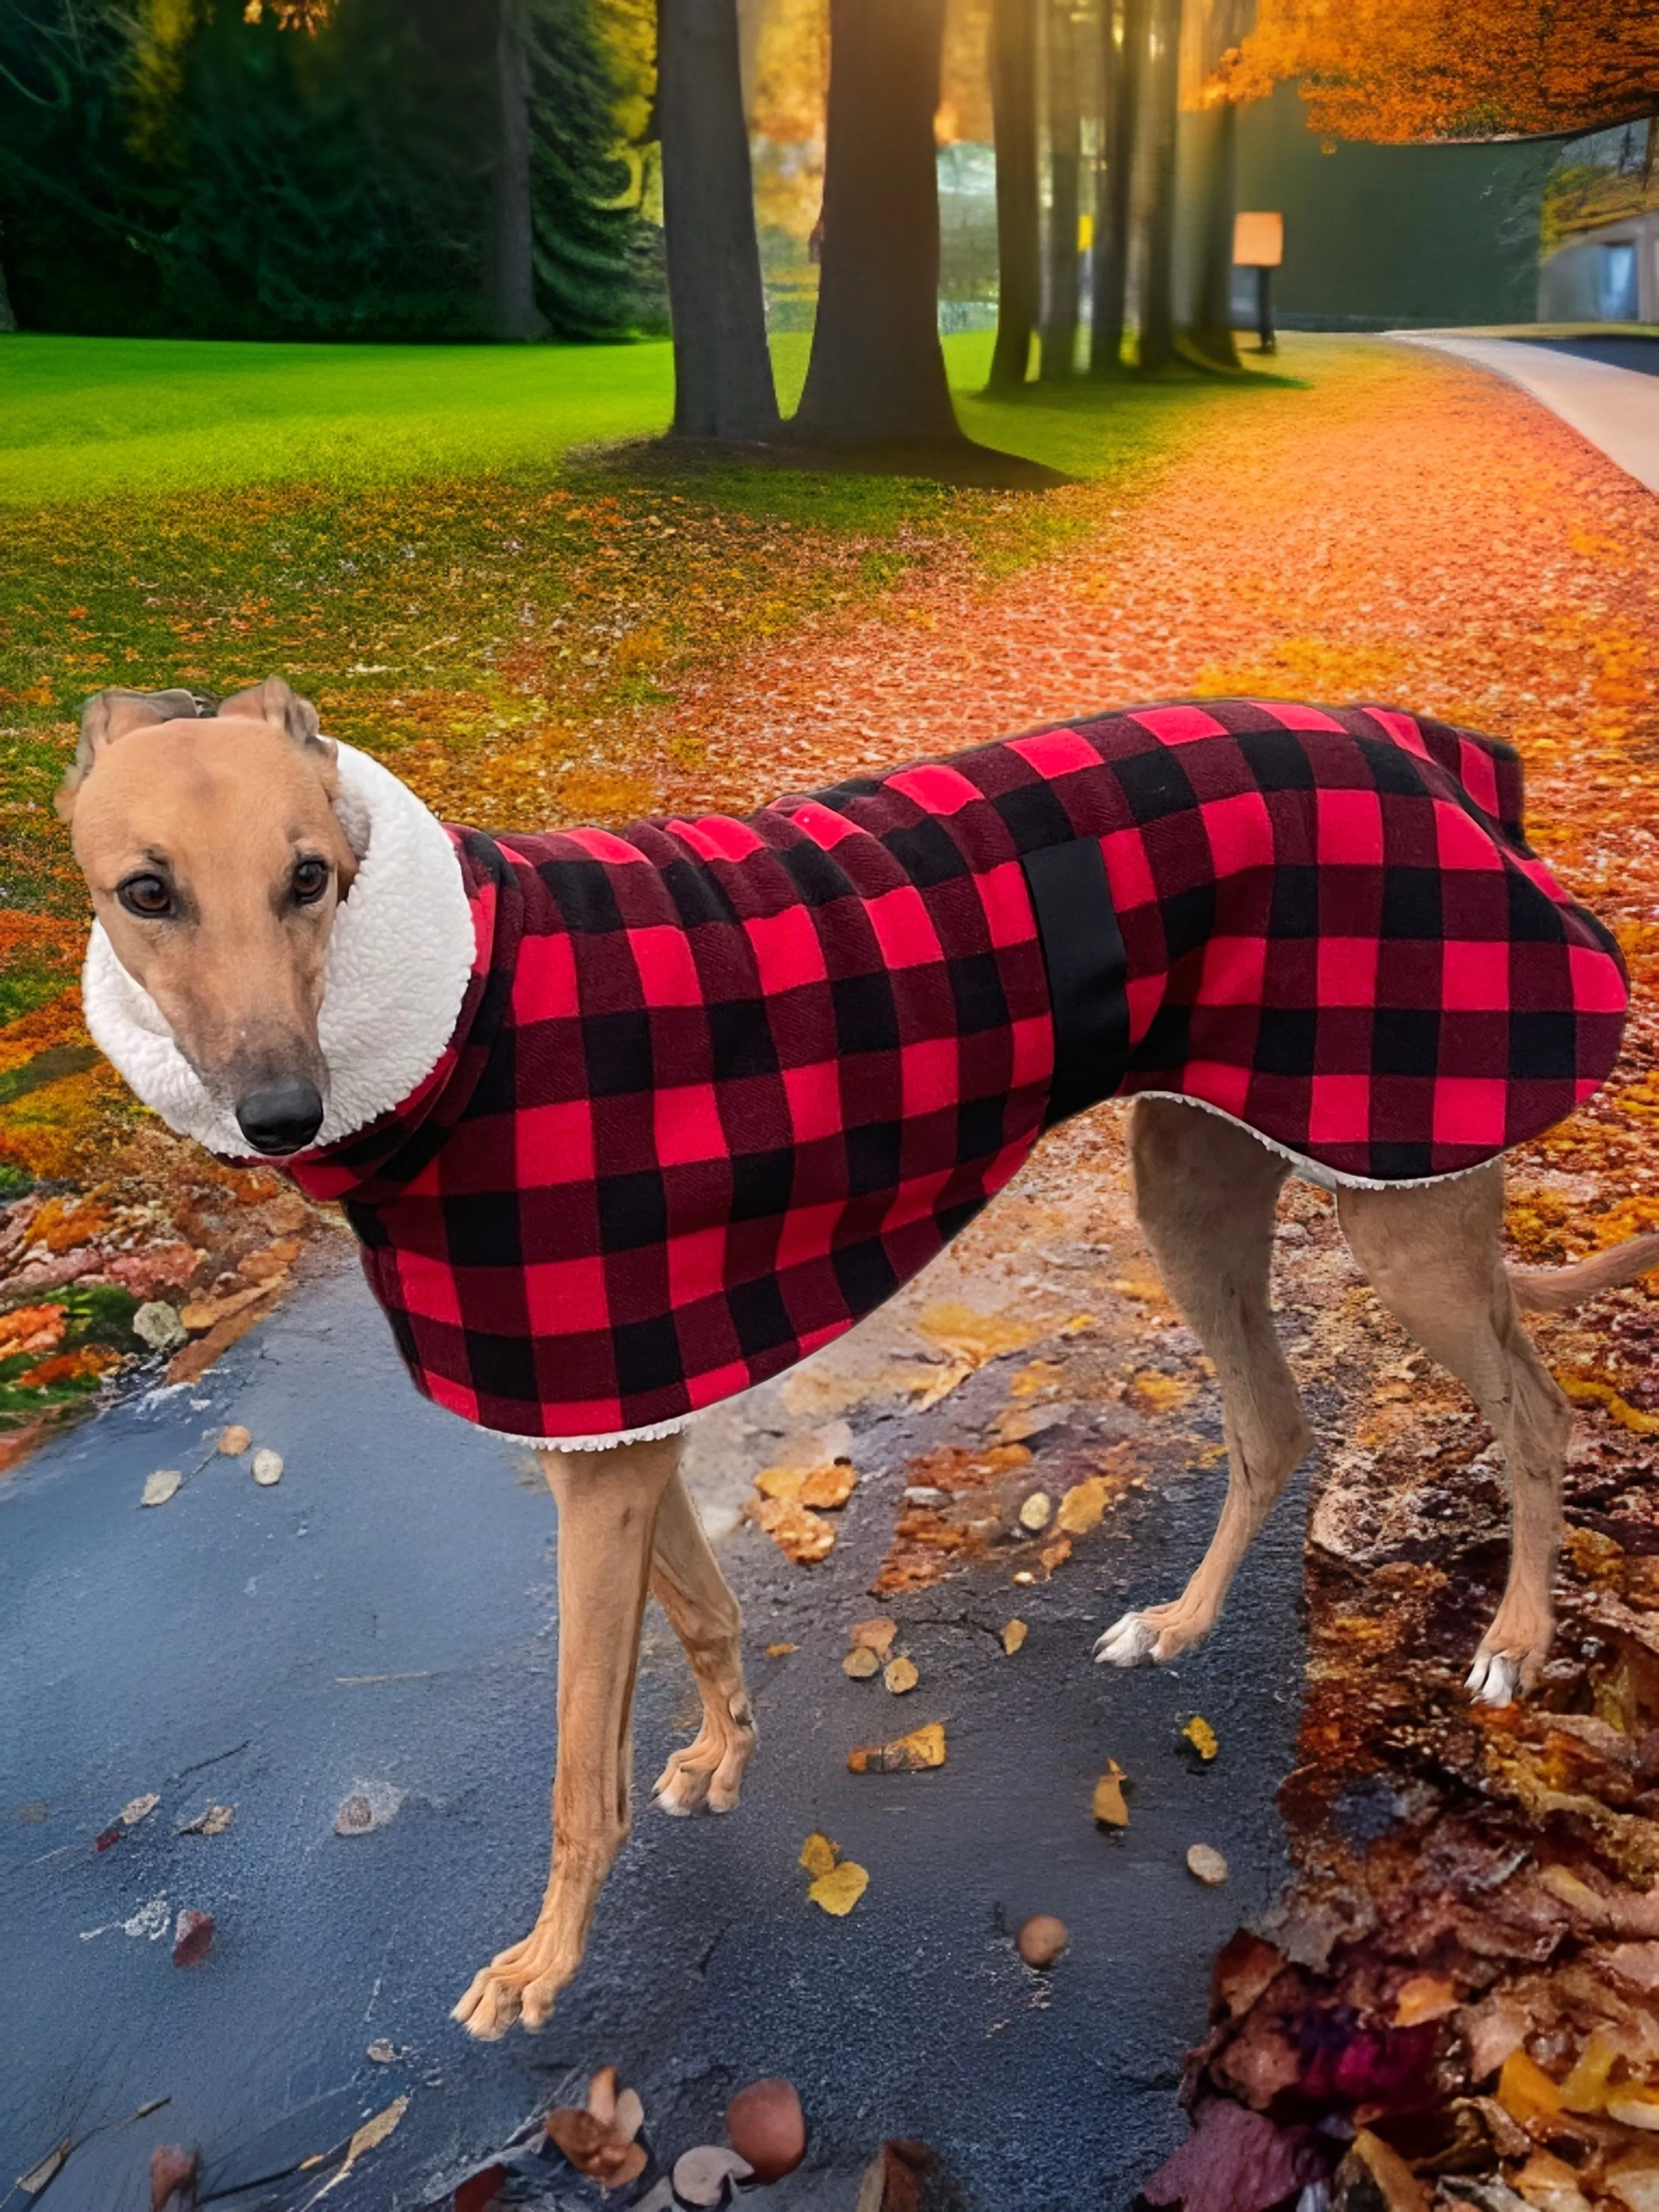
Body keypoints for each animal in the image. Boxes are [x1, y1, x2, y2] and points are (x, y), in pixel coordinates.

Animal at [58, 672, 1654, 2035]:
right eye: (146, 893)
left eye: (310, 877)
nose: (278, 1111)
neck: (459, 1021)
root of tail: (1427, 749)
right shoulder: (618, 1414)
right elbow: (701, 1611)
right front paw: (718, 1758)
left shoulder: (600, 1440)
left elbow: (579, 1764)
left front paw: (544, 1965)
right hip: (1196, 1175)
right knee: (1273, 1424)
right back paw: (1182, 1627)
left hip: (1405, 1186)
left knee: (1533, 1417)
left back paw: (1514, 1644)